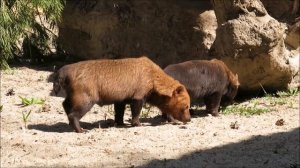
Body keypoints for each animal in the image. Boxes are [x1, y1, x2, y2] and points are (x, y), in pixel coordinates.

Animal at [50, 56, 189, 133]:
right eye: (186, 106)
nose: (189, 119)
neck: (153, 77)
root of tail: (63, 71)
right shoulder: (138, 96)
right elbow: (136, 112)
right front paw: (137, 123)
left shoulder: (121, 99)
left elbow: (119, 113)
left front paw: (120, 123)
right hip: (86, 99)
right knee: (73, 114)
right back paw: (80, 129)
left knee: (65, 104)